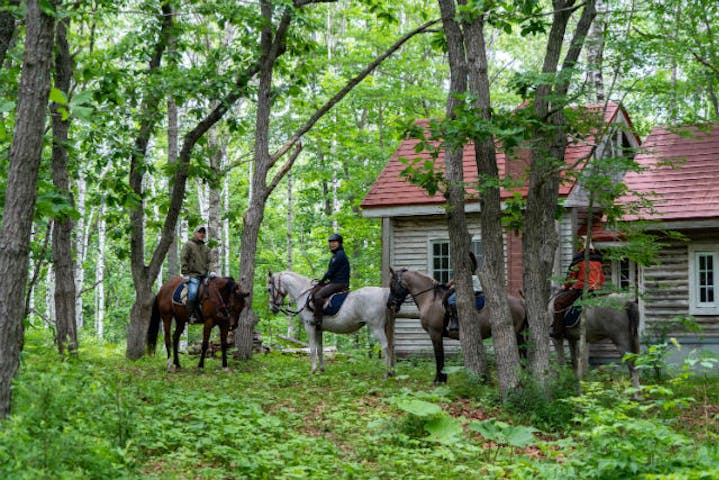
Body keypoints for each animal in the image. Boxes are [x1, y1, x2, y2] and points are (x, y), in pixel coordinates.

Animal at [268, 272, 396, 376]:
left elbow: (312, 348)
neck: (304, 294)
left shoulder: (309, 326)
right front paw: (322, 369)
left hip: (376, 328)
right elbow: (320, 349)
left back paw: (387, 372)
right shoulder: (318, 329)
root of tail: (383, 292)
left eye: (269, 289)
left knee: (385, 346)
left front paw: (313, 370)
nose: (272, 308)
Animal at [388, 268, 528, 384]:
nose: (390, 305)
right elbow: (441, 356)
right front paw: (442, 378)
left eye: (392, 285)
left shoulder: (435, 333)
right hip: (520, 333)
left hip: (515, 333)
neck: (431, 300)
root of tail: (520, 302)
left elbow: (438, 356)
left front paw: (439, 379)